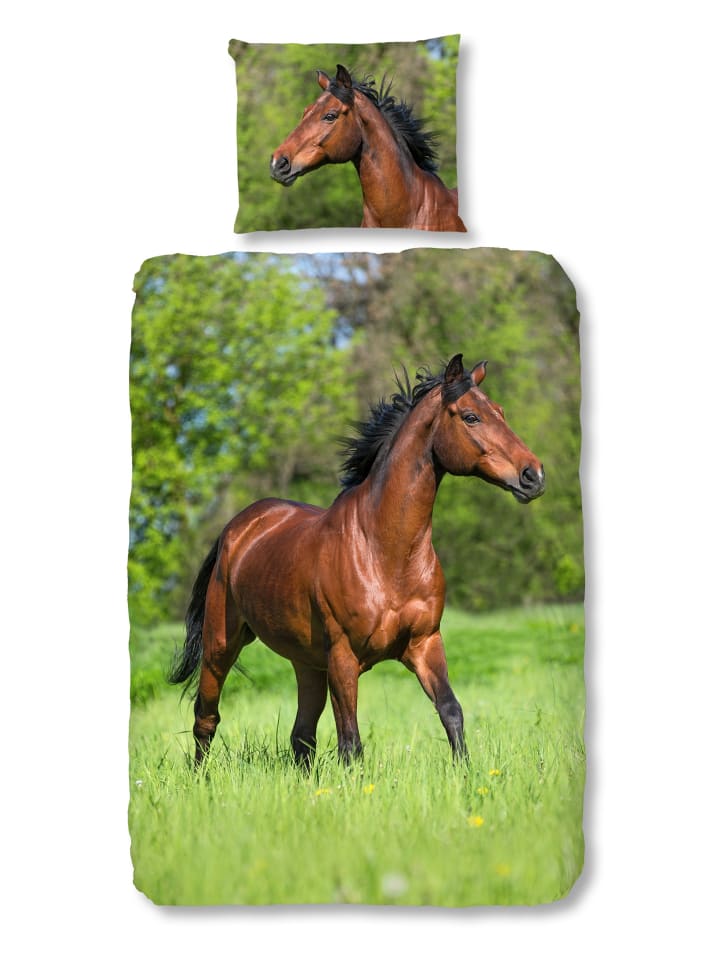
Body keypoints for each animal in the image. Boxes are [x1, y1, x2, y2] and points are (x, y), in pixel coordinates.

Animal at [169, 354, 544, 766]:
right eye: (471, 416)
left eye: (500, 411)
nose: (533, 475)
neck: (384, 554)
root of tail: (238, 528)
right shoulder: (344, 657)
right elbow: (351, 742)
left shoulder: (425, 644)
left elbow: (451, 711)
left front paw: (466, 773)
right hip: (221, 645)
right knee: (206, 719)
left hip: (307, 663)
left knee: (301, 736)